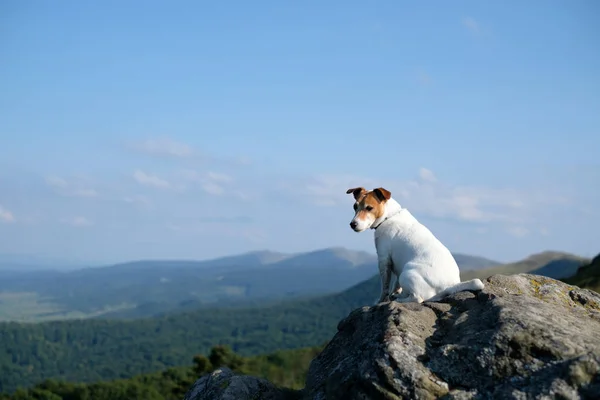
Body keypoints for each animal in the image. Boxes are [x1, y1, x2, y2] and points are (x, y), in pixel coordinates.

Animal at [346, 187, 482, 304]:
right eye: (355, 206)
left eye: (369, 208)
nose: (352, 224)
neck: (389, 216)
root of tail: (449, 286)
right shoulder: (396, 265)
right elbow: (396, 285)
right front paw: (395, 293)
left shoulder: (384, 260)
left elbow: (384, 288)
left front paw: (381, 301)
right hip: (403, 272)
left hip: (407, 273)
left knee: (418, 298)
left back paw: (400, 300)